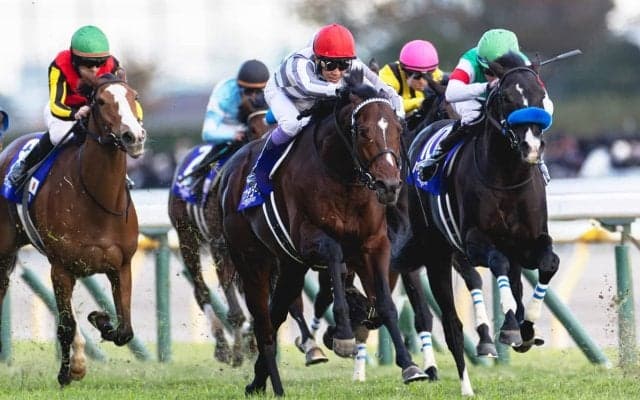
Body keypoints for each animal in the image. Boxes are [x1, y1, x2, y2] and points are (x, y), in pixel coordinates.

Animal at [0, 75, 146, 386]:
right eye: (100, 101)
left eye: (135, 96)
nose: (134, 136)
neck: (97, 199)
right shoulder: (62, 268)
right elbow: (66, 325)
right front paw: (66, 372)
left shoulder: (121, 266)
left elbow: (124, 330)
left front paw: (99, 319)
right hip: (4, 252)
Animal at [168, 91, 269, 366]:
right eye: (253, 129)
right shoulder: (219, 245)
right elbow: (233, 307)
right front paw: (237, 352)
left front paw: (251, 345)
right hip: (186, 238)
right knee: (201, 291)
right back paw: (223, 347)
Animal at [210, 71, 427, 396]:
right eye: (363, 131)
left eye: (397, 128)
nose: (389, 185)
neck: (343, 176)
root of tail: (229, 172)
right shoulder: (309, 239)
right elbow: (335, 258)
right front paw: (343, 334)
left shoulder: (374, 244)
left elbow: (385, 303)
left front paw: (410, 366)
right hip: (252, 259)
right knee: (262, 320)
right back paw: (274, 385)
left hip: (290, 265)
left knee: (276, 314)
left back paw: (260, 380)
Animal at [401, 53, 559, 396]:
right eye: (507, 97)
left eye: (541, 95)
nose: (531, 148)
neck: (507, 177)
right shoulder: (473, 243)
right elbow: (496, 263)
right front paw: (510, 327)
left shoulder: (529, 242)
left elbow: (548, 263)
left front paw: (528, 325)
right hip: (434, 253)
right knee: (450, 323)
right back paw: (465, 386)